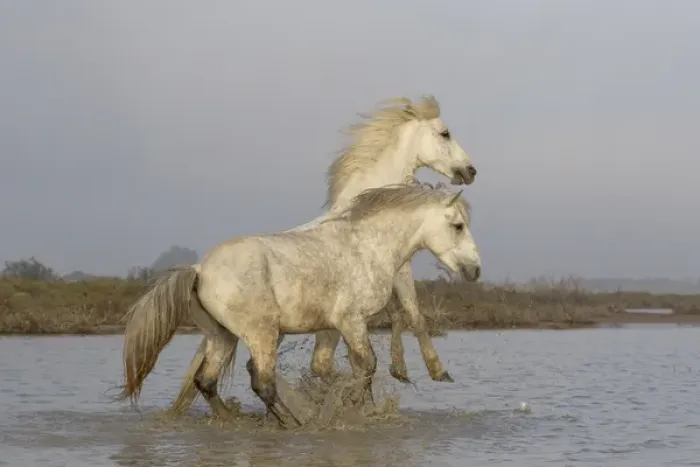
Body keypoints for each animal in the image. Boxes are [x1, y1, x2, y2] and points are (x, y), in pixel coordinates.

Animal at [117, 182, 481, 427]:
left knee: (206, 381)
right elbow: (366, 367)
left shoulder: (333, 327)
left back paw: (235, 419)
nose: (475, 270)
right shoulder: (352, 321)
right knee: (261, 382)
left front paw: (348, 405)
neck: (366, 246)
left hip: (222, 336)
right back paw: (294, 424)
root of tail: (200, 270)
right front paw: (357, 410)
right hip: (261, 333)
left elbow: (333, 369)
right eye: (458, 226)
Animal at [170, 94, 477, 416]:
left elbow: (388, 325)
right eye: (445, 133)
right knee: (259, 370)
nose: (470, 171)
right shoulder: (397, 275)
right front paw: (430, 371)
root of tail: (200, 270)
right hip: (265, 331)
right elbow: (412, 315)